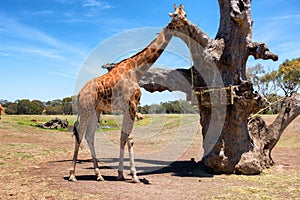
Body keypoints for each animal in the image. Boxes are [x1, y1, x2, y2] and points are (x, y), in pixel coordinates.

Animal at [69, 4, 189, 183]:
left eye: (185, 14)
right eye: (174, 15)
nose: (185, 24)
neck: (136, 69)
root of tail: (79, 94)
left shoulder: (128, 107)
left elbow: (123, 137)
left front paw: (120, 174)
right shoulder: (132, 104)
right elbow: (130, 139)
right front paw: (134, 175)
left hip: (96, 111)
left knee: (89, 136)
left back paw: (98, 175)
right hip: (86, 109)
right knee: (79, 133)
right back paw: (72, 175)